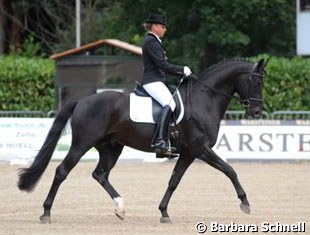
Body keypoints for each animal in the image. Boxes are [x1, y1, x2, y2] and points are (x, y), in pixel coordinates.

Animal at [18, 57, 268, 223]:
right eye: (256, 82)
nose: (256, 112)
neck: (204, 100)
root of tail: (82, 100)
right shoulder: (201, 149)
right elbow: (230, 170)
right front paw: (245, 203)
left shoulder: (188, 153)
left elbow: (173, 181)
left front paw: (164, 212)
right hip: (82, 144)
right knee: (62, 171)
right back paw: (46, 213)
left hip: (111, 148)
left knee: (100, 174)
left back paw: (120, 208)